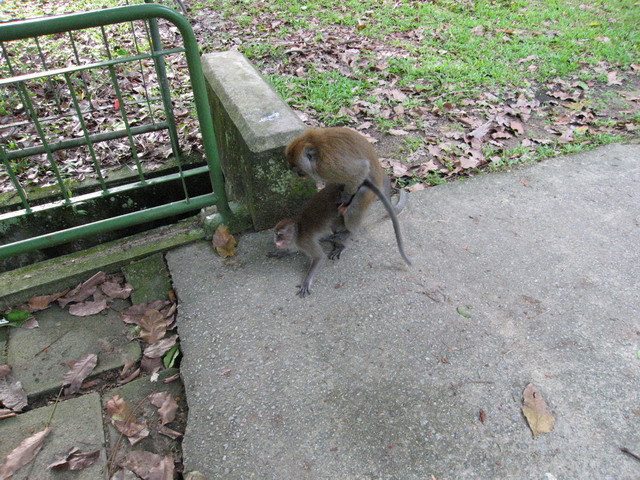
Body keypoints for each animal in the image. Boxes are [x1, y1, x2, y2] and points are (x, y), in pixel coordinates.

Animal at [285, 127, 412, 266]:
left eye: (297, 167)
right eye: (293, 167)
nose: (296, 173)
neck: (314, 145)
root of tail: (381, 174)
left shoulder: (327, 166)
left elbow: (361, 170)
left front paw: (345, 199)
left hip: (369, 193)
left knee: (356, 203)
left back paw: (348, 233)